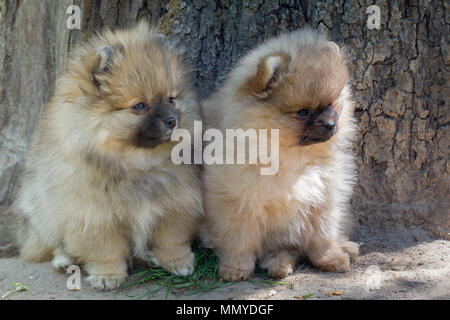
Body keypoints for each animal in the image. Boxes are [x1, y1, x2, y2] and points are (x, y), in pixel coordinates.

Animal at [14, 21, 202, 288]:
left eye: (171, 99)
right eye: (140, 106)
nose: (171, 121)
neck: (138, 164)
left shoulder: (176, 203)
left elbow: (171, 238)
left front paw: (178, 261)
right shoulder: (94, 214)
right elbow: (104, 249)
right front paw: (108, 275)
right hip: (42, 211)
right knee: (52, 244)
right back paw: (63, 260)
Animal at [200, 28, 358, 282]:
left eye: (331, 105)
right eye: (303, 112)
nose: (331, 125)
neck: (289, 155)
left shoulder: (325, 196)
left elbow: (323, 235)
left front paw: (331, 258)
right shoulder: (236, 201)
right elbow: (238, 240)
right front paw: (235, 268)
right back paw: (279, 263)